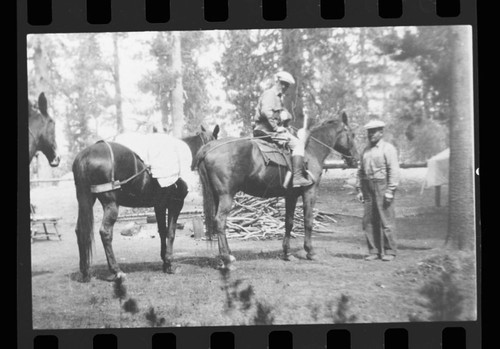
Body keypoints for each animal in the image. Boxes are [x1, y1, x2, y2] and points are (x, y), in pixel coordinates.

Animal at [72, 123, 219, 282]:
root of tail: (86, 154)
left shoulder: (159, 205)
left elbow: (163, 231)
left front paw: (165, 262)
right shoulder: (176, 203)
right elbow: (171, 232)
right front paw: (169, 263)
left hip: (85, 200)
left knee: (80, 230)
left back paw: (85, 271)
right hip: (111, 204)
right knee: (105, 232)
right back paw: (116, 270)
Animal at [197, 113, 358, 268]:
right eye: (352, 134)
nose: (355, 159)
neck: (310, 151)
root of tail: (209, 147)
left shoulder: (291, 196)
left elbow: (289, 223)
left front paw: (287, 253)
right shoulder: (310, 192)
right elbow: (308, 221)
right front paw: (310, 252)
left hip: (217, 196)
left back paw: (223, 258)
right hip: (226, 196)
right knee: (220, 221)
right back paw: (227, 258)